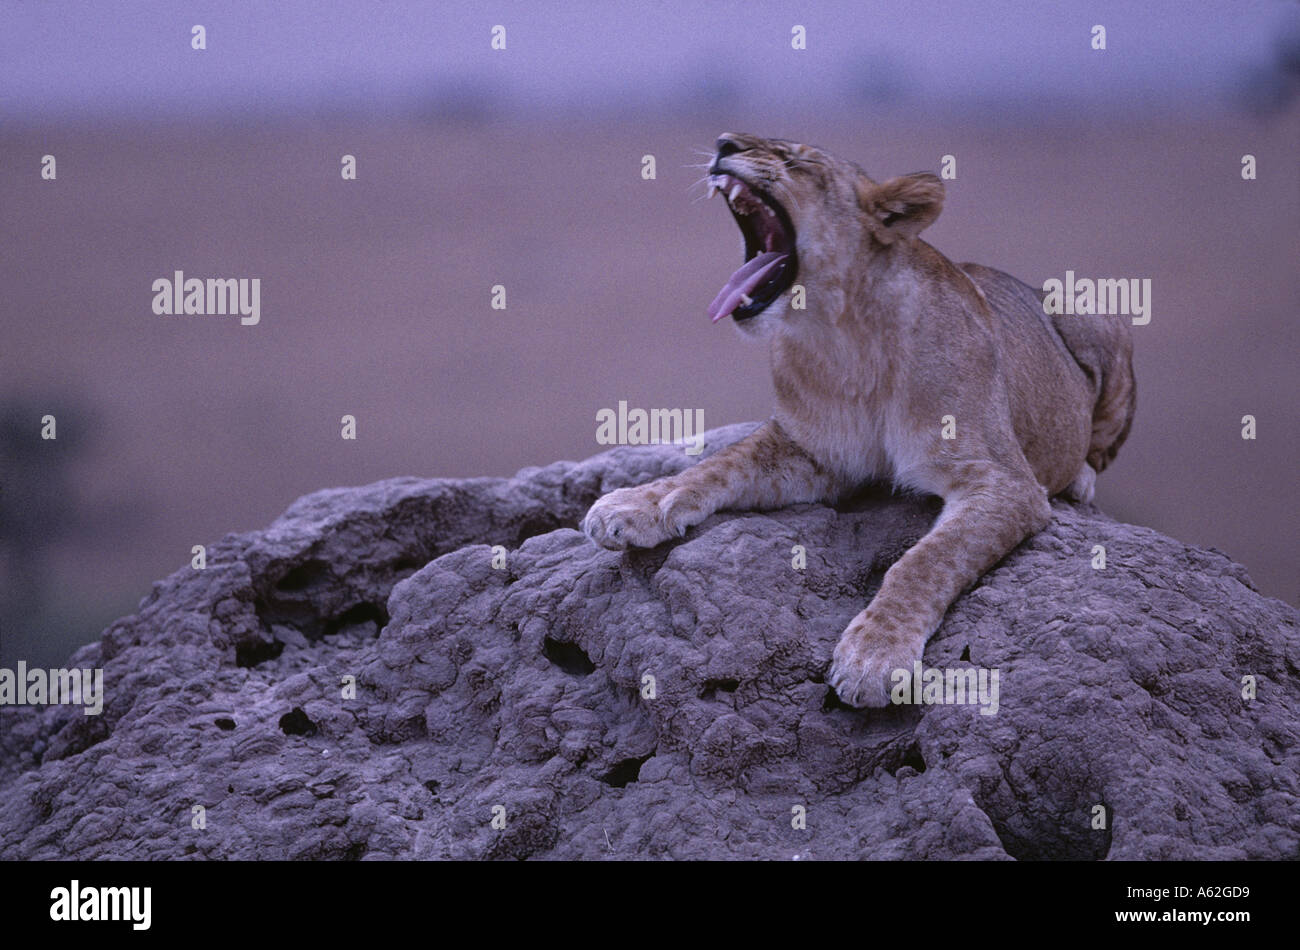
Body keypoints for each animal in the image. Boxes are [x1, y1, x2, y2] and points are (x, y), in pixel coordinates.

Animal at [583, 132, 1136, 708]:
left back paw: (1081, 478)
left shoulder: (1005, 482)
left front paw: (875, 655)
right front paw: (638, 503)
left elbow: (925, 560)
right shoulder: (814, 452)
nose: (724, 142)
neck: (841, 333)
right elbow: (718, 465)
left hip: (1090, 309)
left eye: (794, 159)